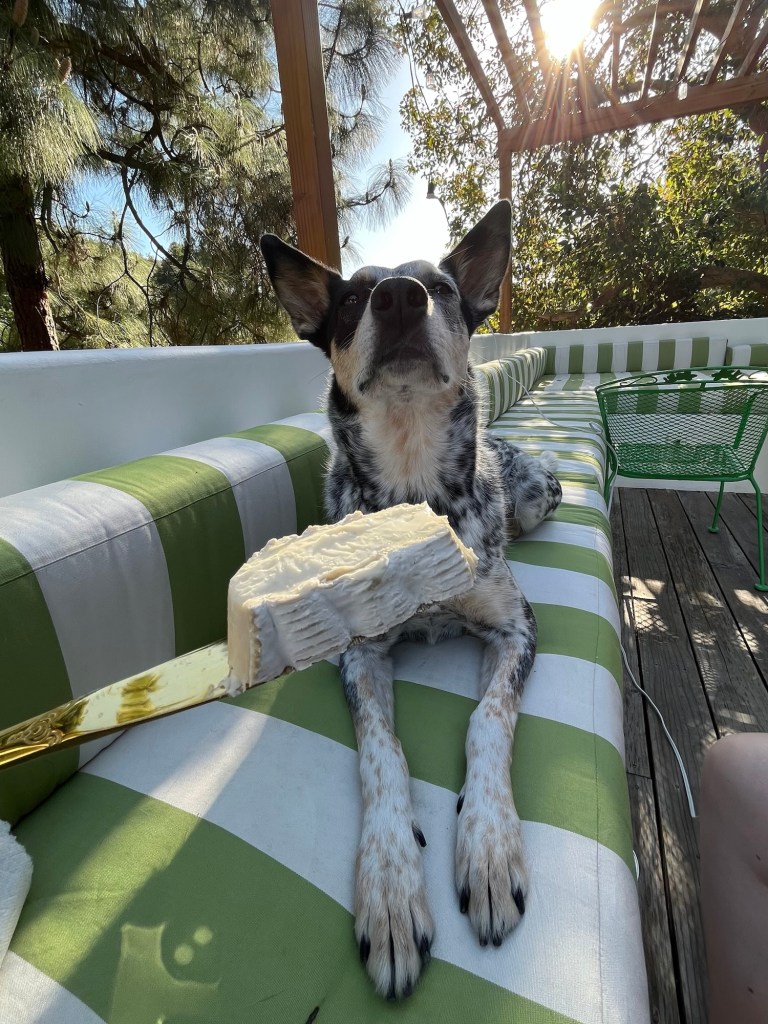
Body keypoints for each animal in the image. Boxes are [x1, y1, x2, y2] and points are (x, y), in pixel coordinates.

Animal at [260, 200, 562, 999]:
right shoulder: (359, 652)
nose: (400, 296)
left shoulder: (517, 628)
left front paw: (489, 850)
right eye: (351, 301)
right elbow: (381, 751)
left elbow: (488, 721)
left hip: (535, 498)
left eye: (445, 289)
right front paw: (391, 889)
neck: (413, 481)